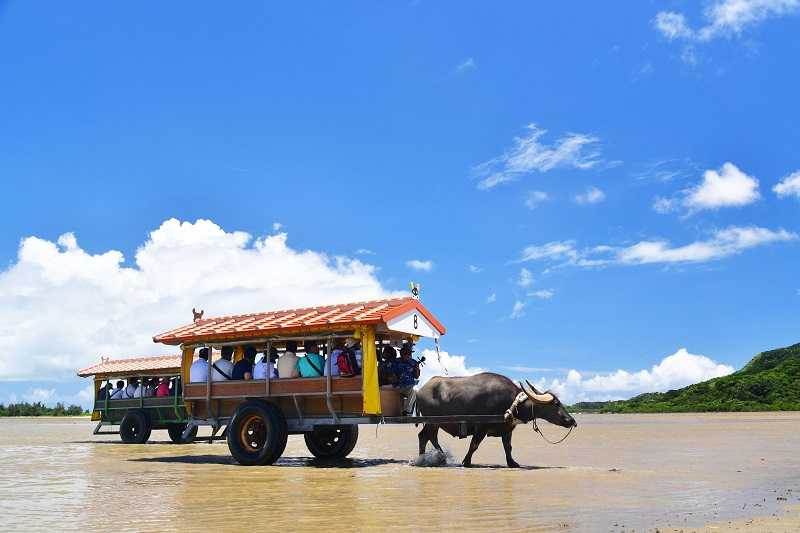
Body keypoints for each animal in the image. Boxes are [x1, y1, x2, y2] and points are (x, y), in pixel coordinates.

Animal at [416, 370, 580, 466]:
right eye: (556, 403)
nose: (572, 421)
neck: (512, 402)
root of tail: (420, 390)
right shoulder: (481, 427)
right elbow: (474, 445)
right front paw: (466, 461)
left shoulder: (507, 429)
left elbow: (508, 447)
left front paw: (512, 462)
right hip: (432, 421)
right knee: (425, 436)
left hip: (435, 423)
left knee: (428, 437)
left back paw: (436, 458)